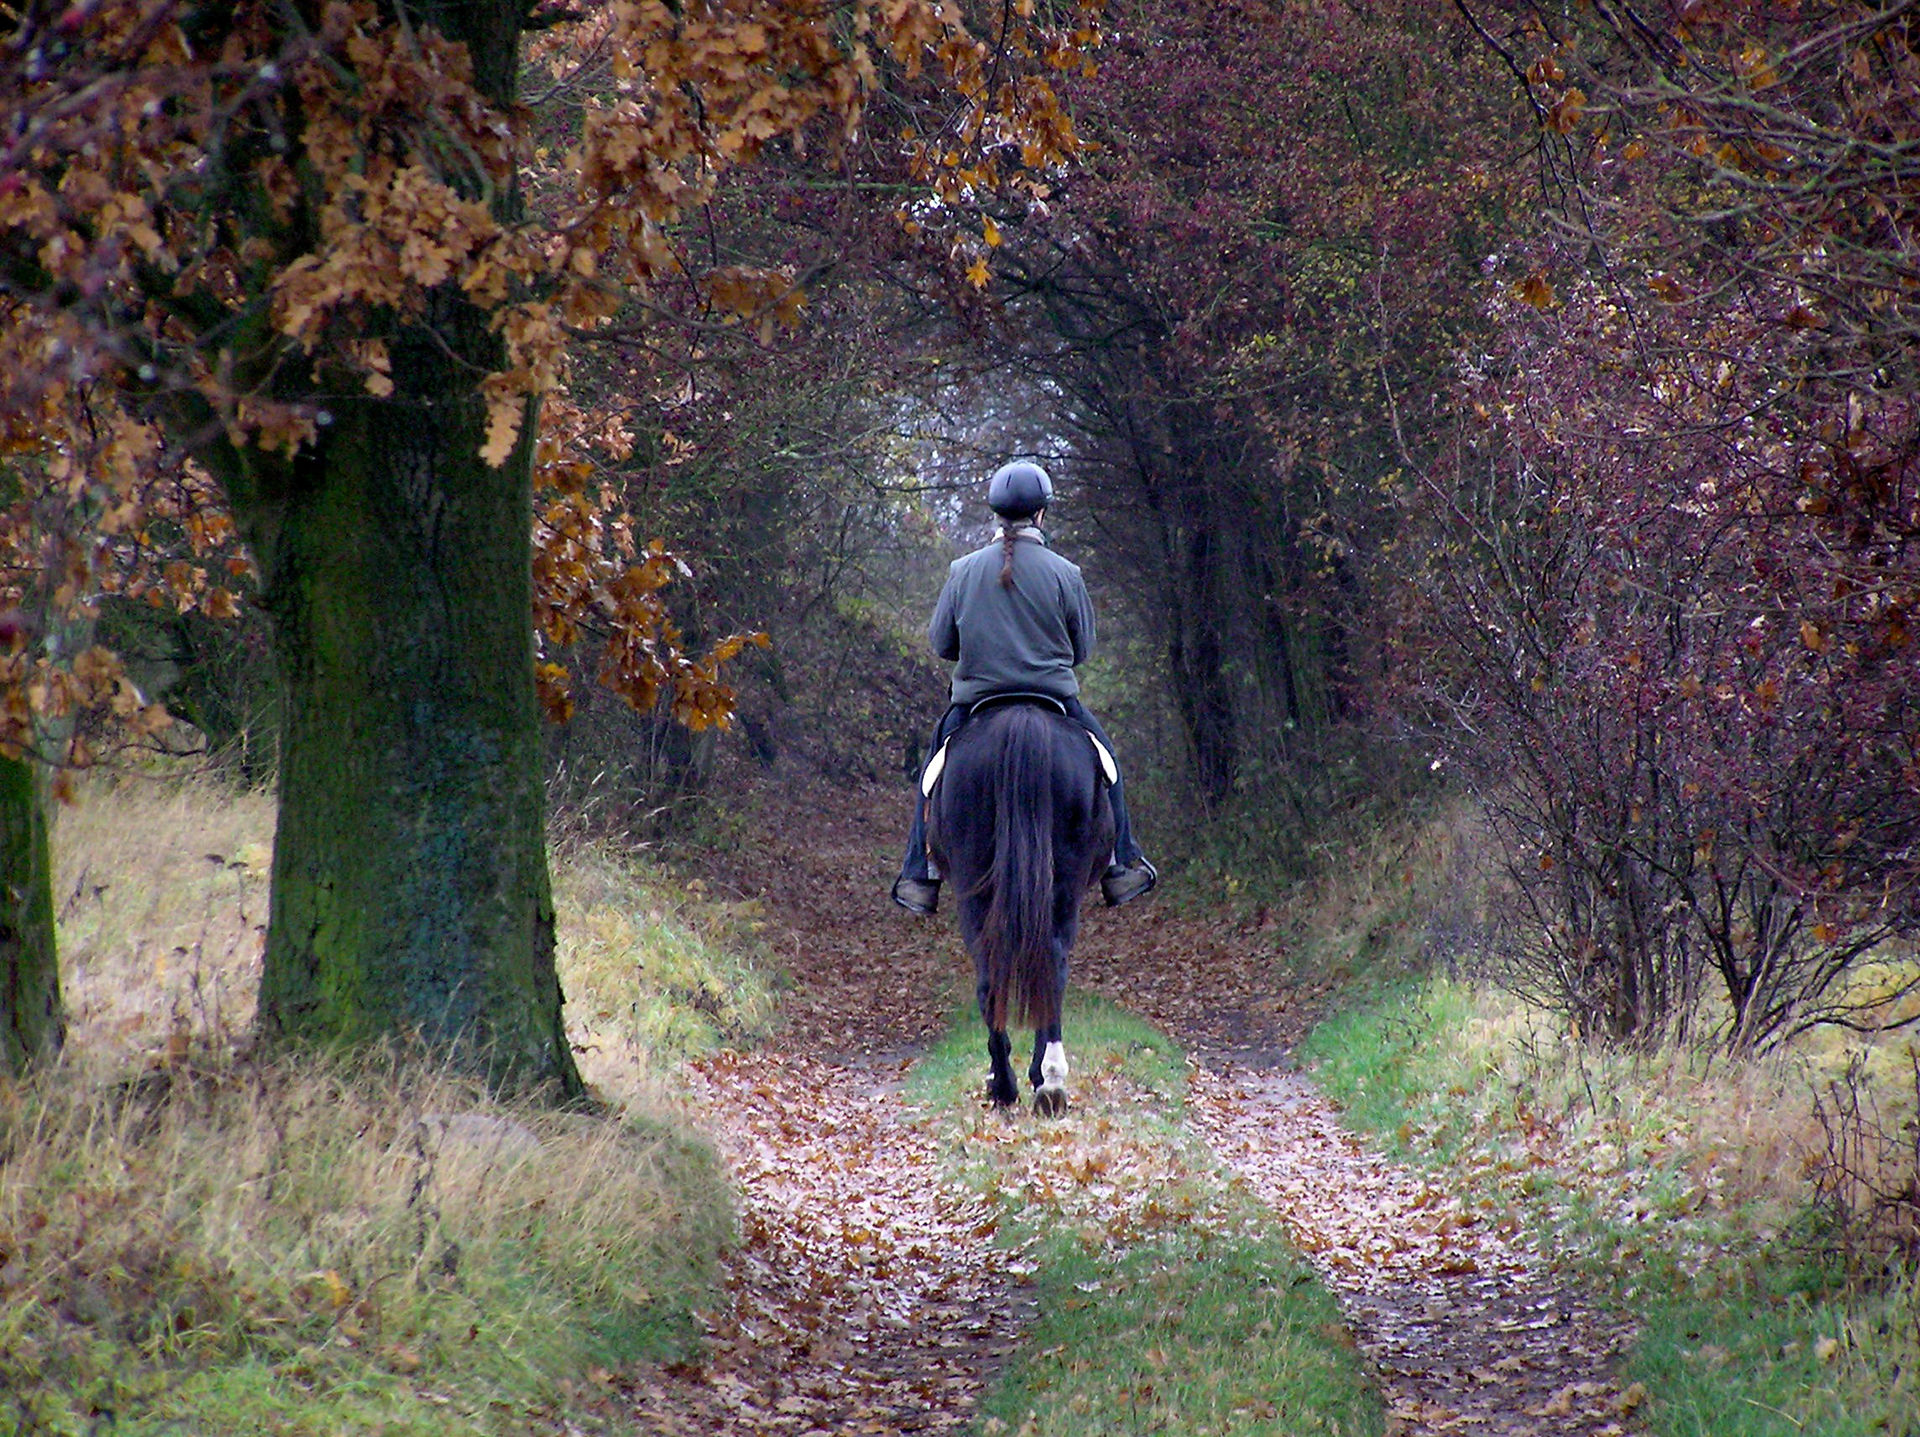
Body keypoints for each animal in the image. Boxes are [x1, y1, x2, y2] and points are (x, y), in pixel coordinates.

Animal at [925, 703, 1113, 1114]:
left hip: (975, 888)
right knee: (1049, 967)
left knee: (996, 977)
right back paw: (1046, 1082)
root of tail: (1022, 718)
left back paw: (1011, 1085)